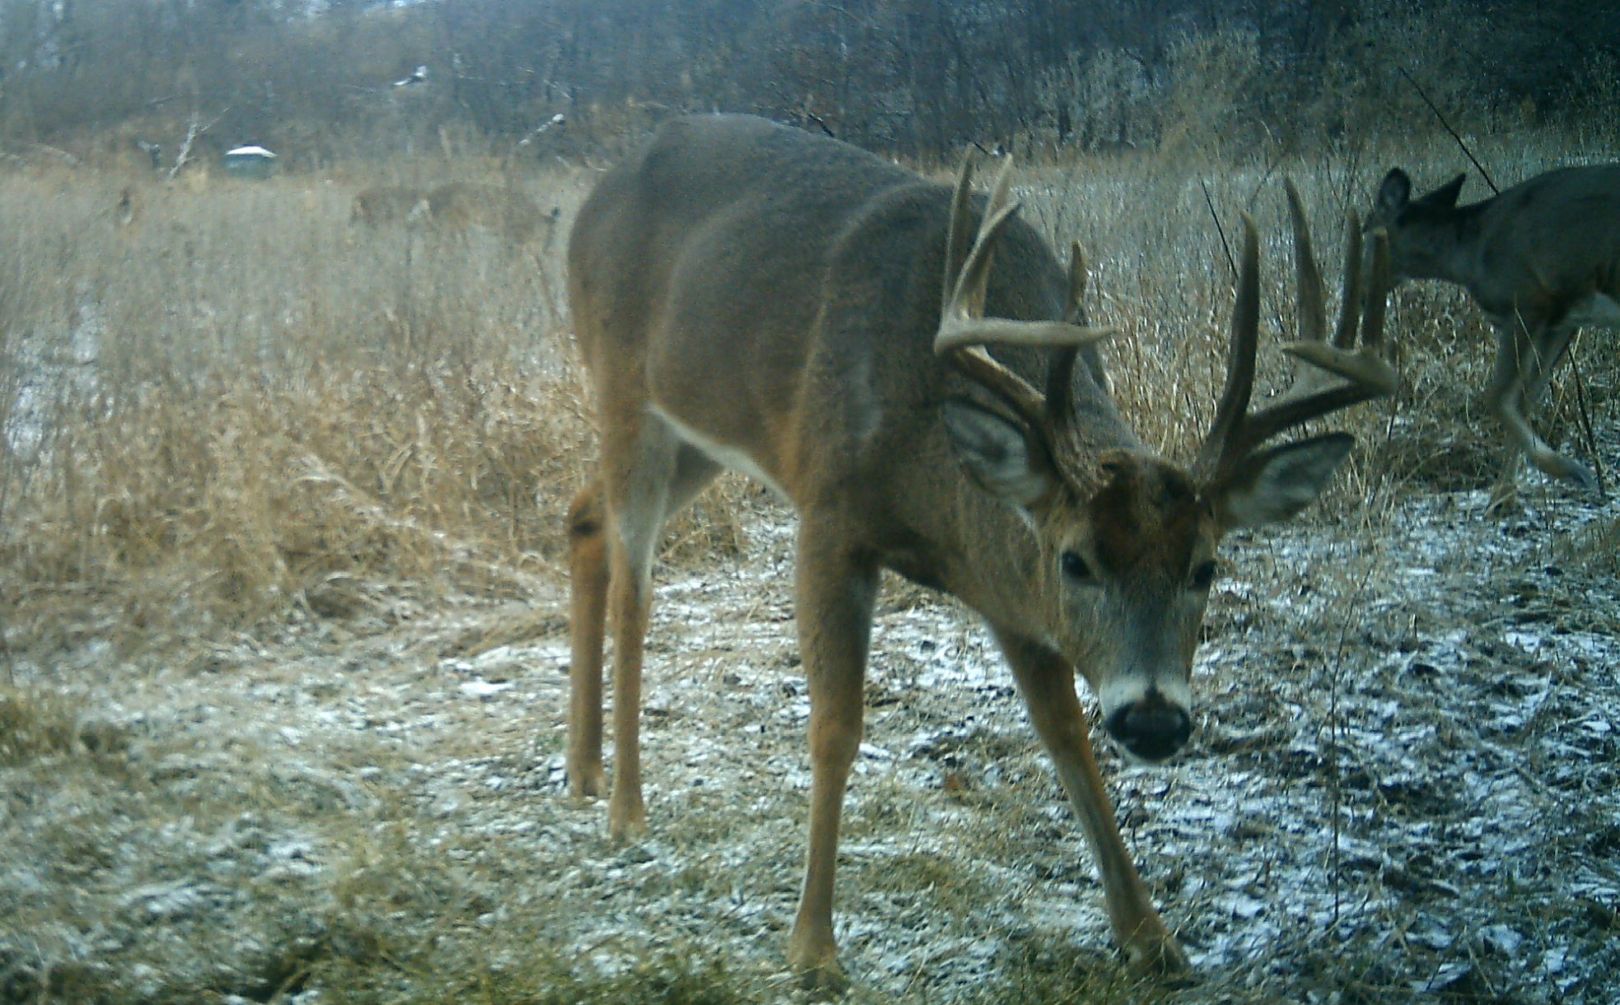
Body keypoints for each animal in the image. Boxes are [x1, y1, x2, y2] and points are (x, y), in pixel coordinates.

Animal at [567, 113, 1393, 985]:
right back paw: (626, 805)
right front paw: (814, 947)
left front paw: (1151, 934)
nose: (1154, 720)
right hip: (625, 388)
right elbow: (836, 726)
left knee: (582, 518)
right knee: (633, 582)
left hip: (699, 431)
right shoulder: (830, 514)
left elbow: (1066, 734)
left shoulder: (1006, 591)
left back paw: (583, 772)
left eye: (1206, 566)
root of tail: (597, 193)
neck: (935, 481)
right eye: (1076, 559)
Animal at [1367, 166, 1620, 515]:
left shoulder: (1527, 300)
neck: (1471, 253)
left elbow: (1497, 396)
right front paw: (1502, 498)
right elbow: (1524, 400)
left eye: (1365, 233)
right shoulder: (1562, 320)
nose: (1359, 290)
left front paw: (1569, 470)